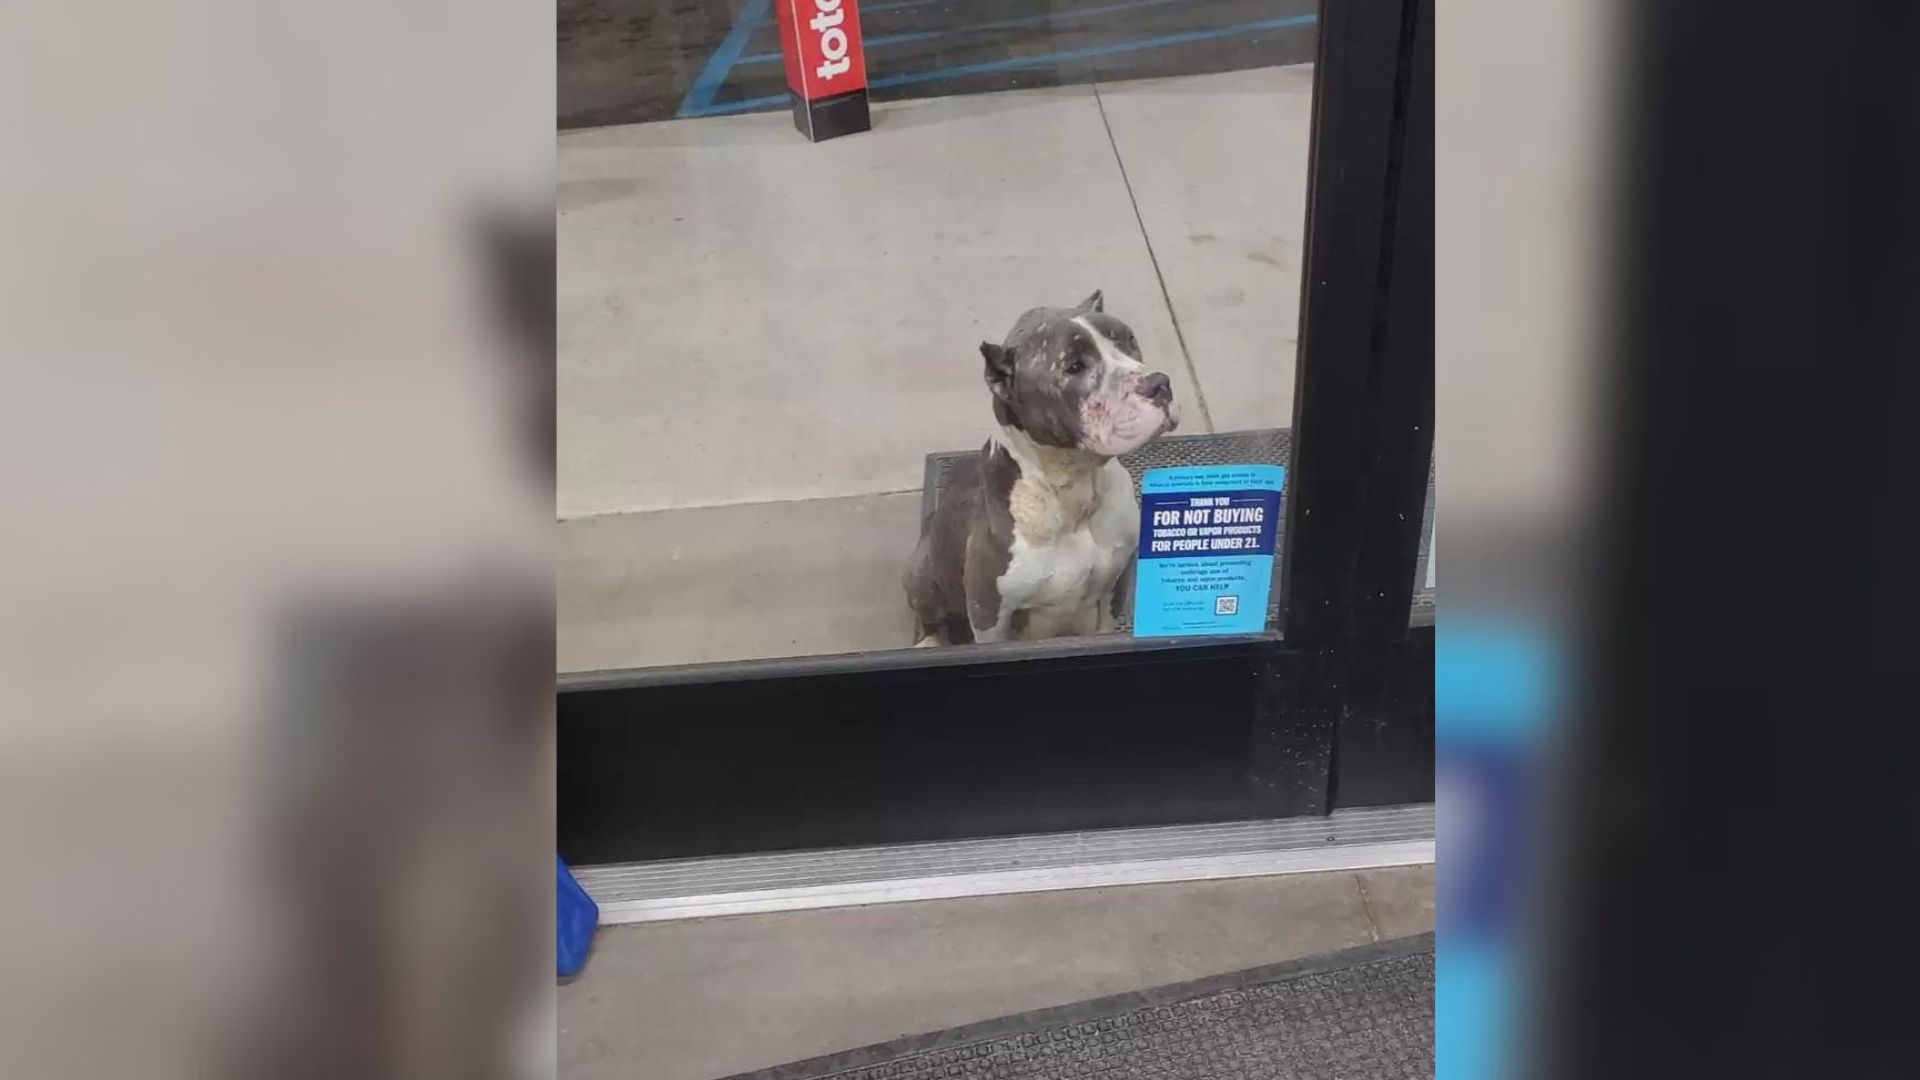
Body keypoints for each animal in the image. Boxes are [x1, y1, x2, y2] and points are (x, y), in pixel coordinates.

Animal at [906, 290, 1175, 641]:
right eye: (1074, 367)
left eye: (1129, 340)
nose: (1159, 383)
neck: (1073, 487)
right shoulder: (989, 612)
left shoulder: (1116, 586)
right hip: (923, 577)